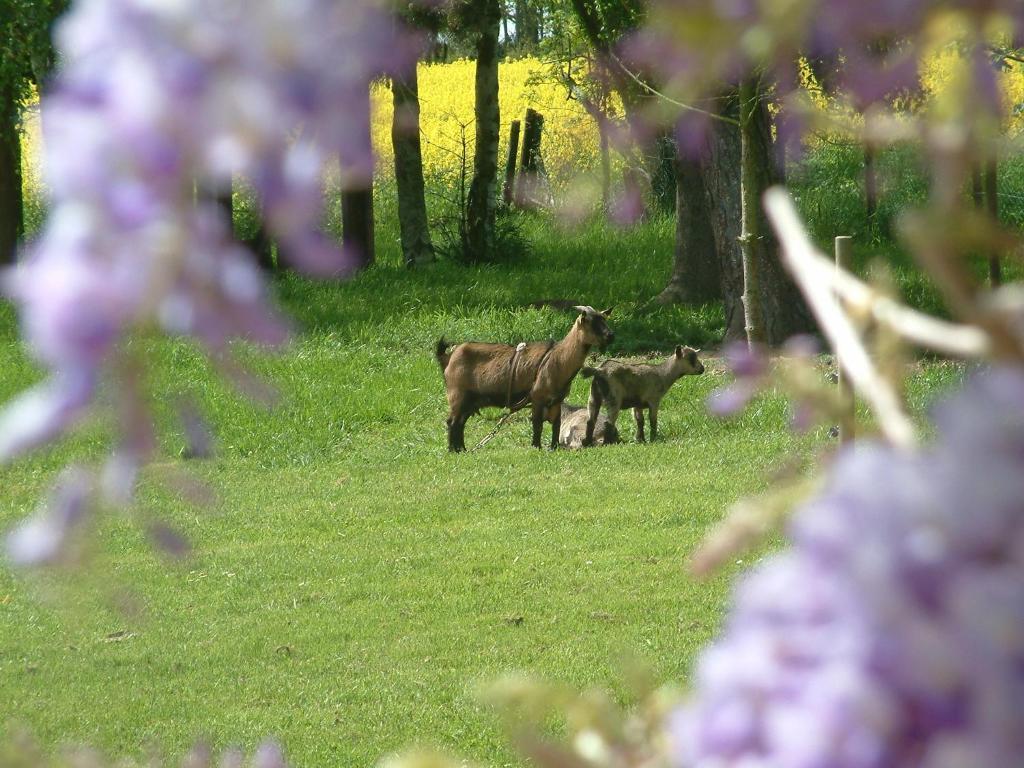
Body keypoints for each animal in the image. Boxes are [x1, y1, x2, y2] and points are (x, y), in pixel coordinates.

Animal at [434, 307, 610, 450]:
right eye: (592, 323)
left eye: (604, 319)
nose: (611, 335)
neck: (557, 358)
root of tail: (448, 357)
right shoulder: (538, 397)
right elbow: (537, 425)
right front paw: (536, 446)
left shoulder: (556, 401)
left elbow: (556, 425)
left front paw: (553, 447)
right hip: (458, 396)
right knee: (452, 422)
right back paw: (453, 450)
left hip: (469, 401)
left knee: (459, 424)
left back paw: (461, 449)